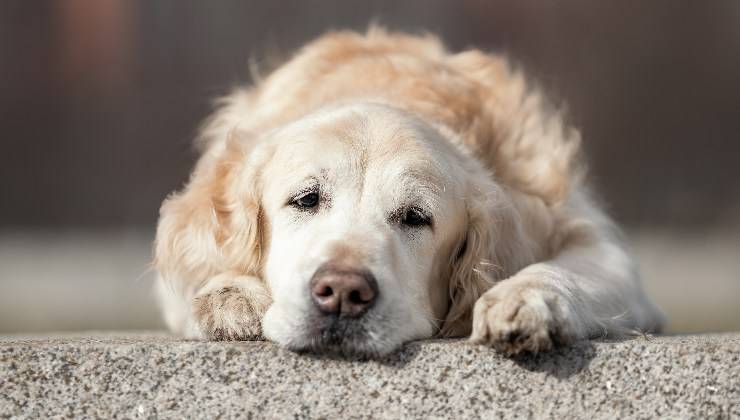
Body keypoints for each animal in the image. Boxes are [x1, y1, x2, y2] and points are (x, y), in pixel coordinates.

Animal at [153, 27, 660, 356]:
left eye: (416, 217)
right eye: (306, 199)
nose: (342, 292)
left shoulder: (603, 252)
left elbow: (564, 270)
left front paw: (525, 299)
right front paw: (230, 295)